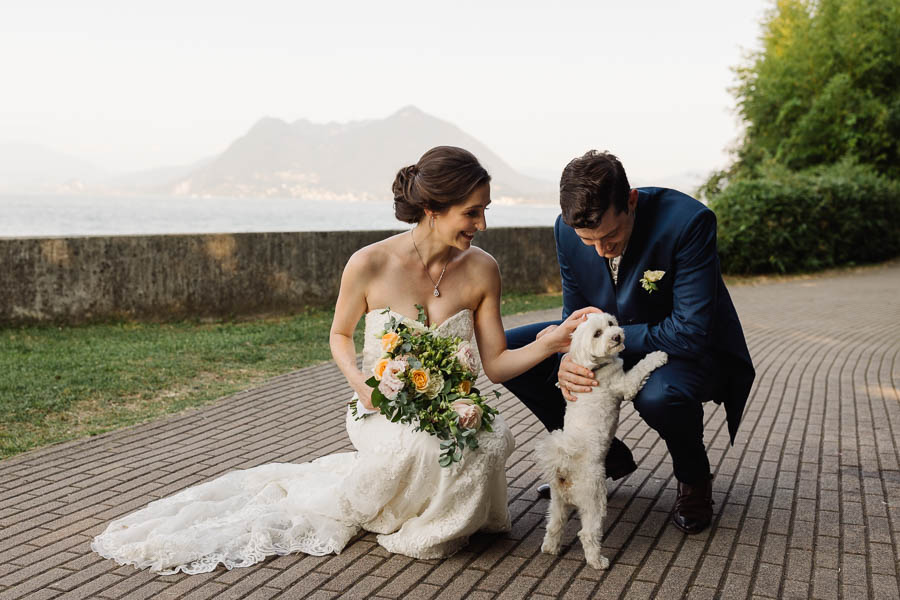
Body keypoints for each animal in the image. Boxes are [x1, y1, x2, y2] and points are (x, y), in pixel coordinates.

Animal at [536, 312, 668, 568]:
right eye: (597, 334)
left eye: (610, 324)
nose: (616, 336)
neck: (595, 366)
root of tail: (564, 466)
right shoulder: (624, 385)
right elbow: (639, 369)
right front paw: (658, 356)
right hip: (594, 498)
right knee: (587, 532)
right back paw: (597, 562)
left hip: (558, 502)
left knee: (554, 525)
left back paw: (550, 549)